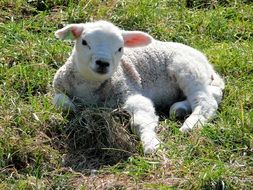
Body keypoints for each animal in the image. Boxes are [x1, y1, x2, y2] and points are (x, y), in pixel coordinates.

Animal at [52, 20, 224, 154]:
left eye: (120, 48)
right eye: (84, 42)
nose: (103, 63)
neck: (89, 87)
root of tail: (206, 61)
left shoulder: (129, 89)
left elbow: (141, 119)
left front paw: (152, 145)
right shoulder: (58, 88)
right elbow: (61, 103)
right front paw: (73, 108)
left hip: (188, 69)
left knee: (206, 101)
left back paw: (190, 125)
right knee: (214, 93)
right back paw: (179, 108)